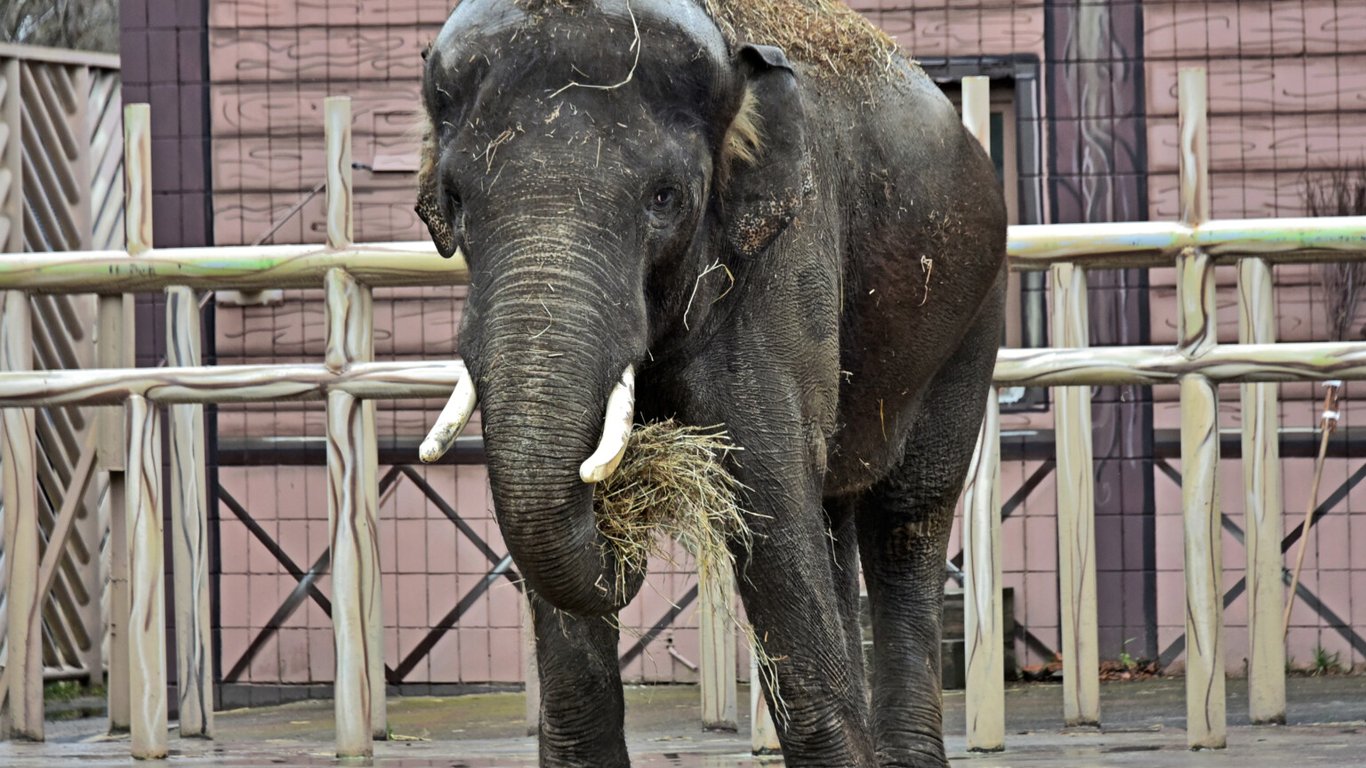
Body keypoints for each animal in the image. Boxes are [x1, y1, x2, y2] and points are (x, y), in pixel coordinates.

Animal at [412, 0, 1005, 759]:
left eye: (664, 197)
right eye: (454, 200)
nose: (616, 522)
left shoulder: (785, 259)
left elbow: (770, 490)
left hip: (973, 314)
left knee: (907, 516)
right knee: (834, 512)